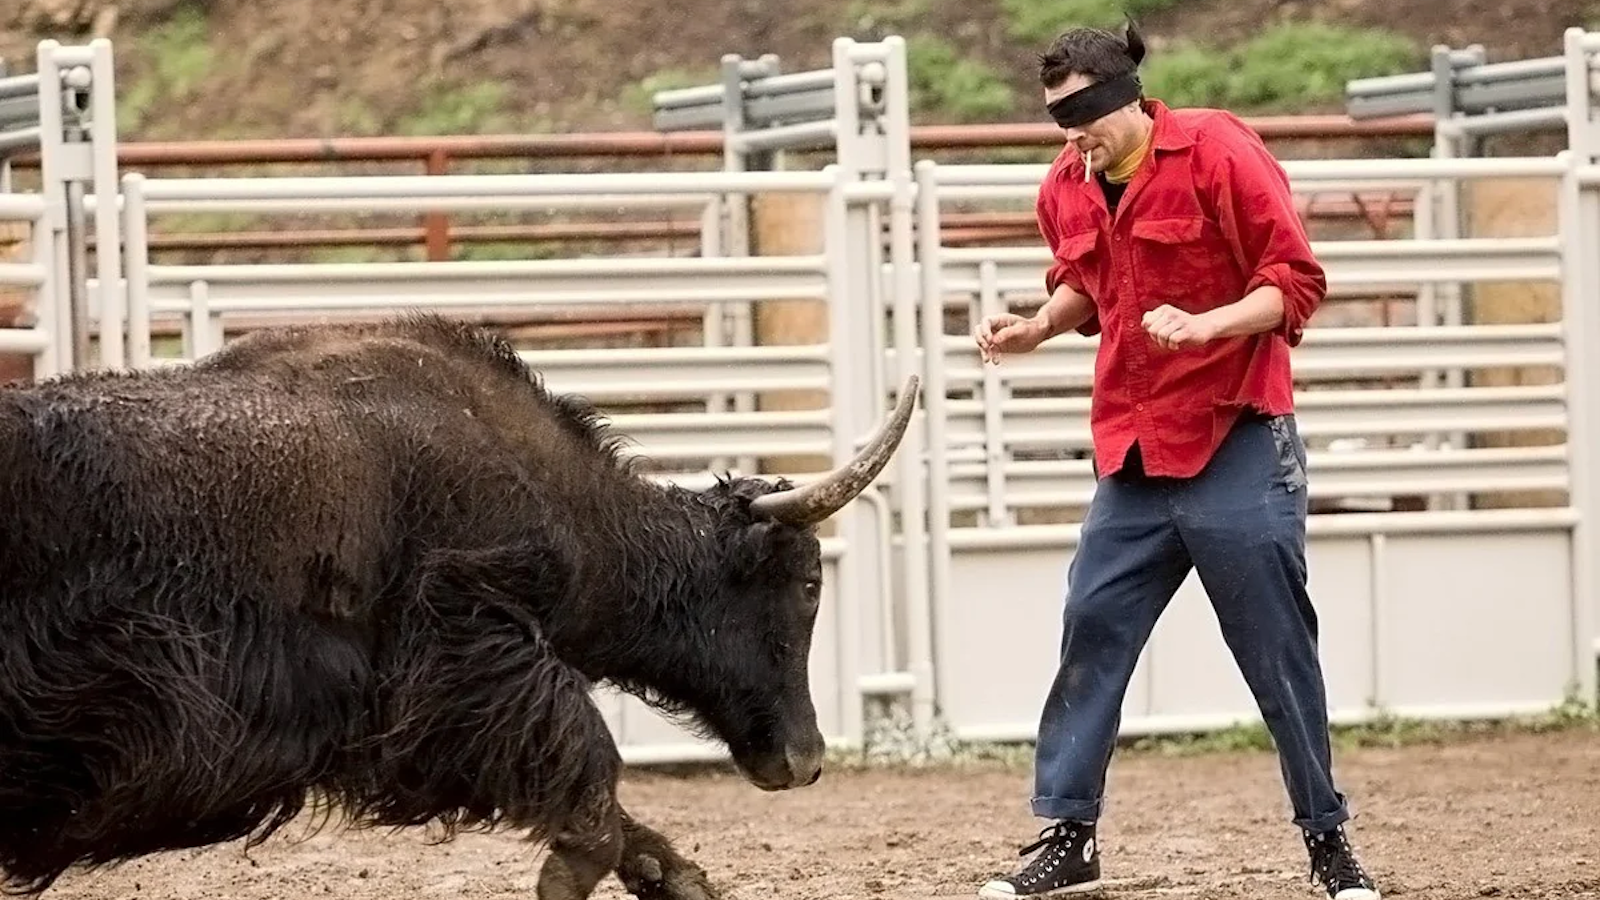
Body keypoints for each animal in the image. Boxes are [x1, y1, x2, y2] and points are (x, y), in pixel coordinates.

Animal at [0, 312, 919, 900]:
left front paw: (677, 878)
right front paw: (577, 875)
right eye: (807, 586)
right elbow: (588, 768)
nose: (805, 759)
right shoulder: (466, 657)